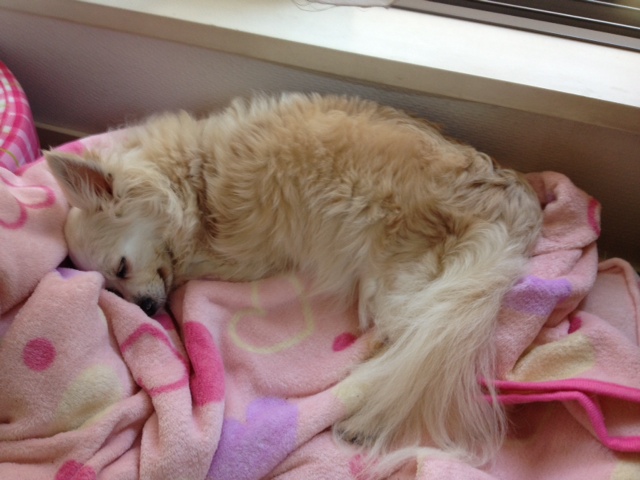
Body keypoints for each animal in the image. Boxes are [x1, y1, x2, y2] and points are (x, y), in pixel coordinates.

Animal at [46, 93, 542, 470]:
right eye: (113, 291)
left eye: (122, 269)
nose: (146, 310)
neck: (194, 181)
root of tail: (512, 202)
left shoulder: (237, 256)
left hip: (401, 281)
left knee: (409, 347)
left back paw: (362, 415)